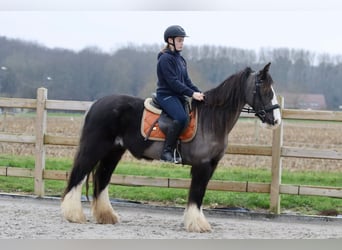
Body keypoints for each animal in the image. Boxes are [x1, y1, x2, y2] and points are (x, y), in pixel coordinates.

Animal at [60, 62, 280, 232]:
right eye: (265, 90)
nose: (276, 120)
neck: (210, 120)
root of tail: (96, 104)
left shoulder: (211, 165)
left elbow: (199, 194)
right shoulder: (202, 165)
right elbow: (197, 194)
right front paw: (197, 224)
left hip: (114, 151)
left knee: (101, 178)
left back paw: (106, 216)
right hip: (94, 147)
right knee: (79, 174)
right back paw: (73, 215)